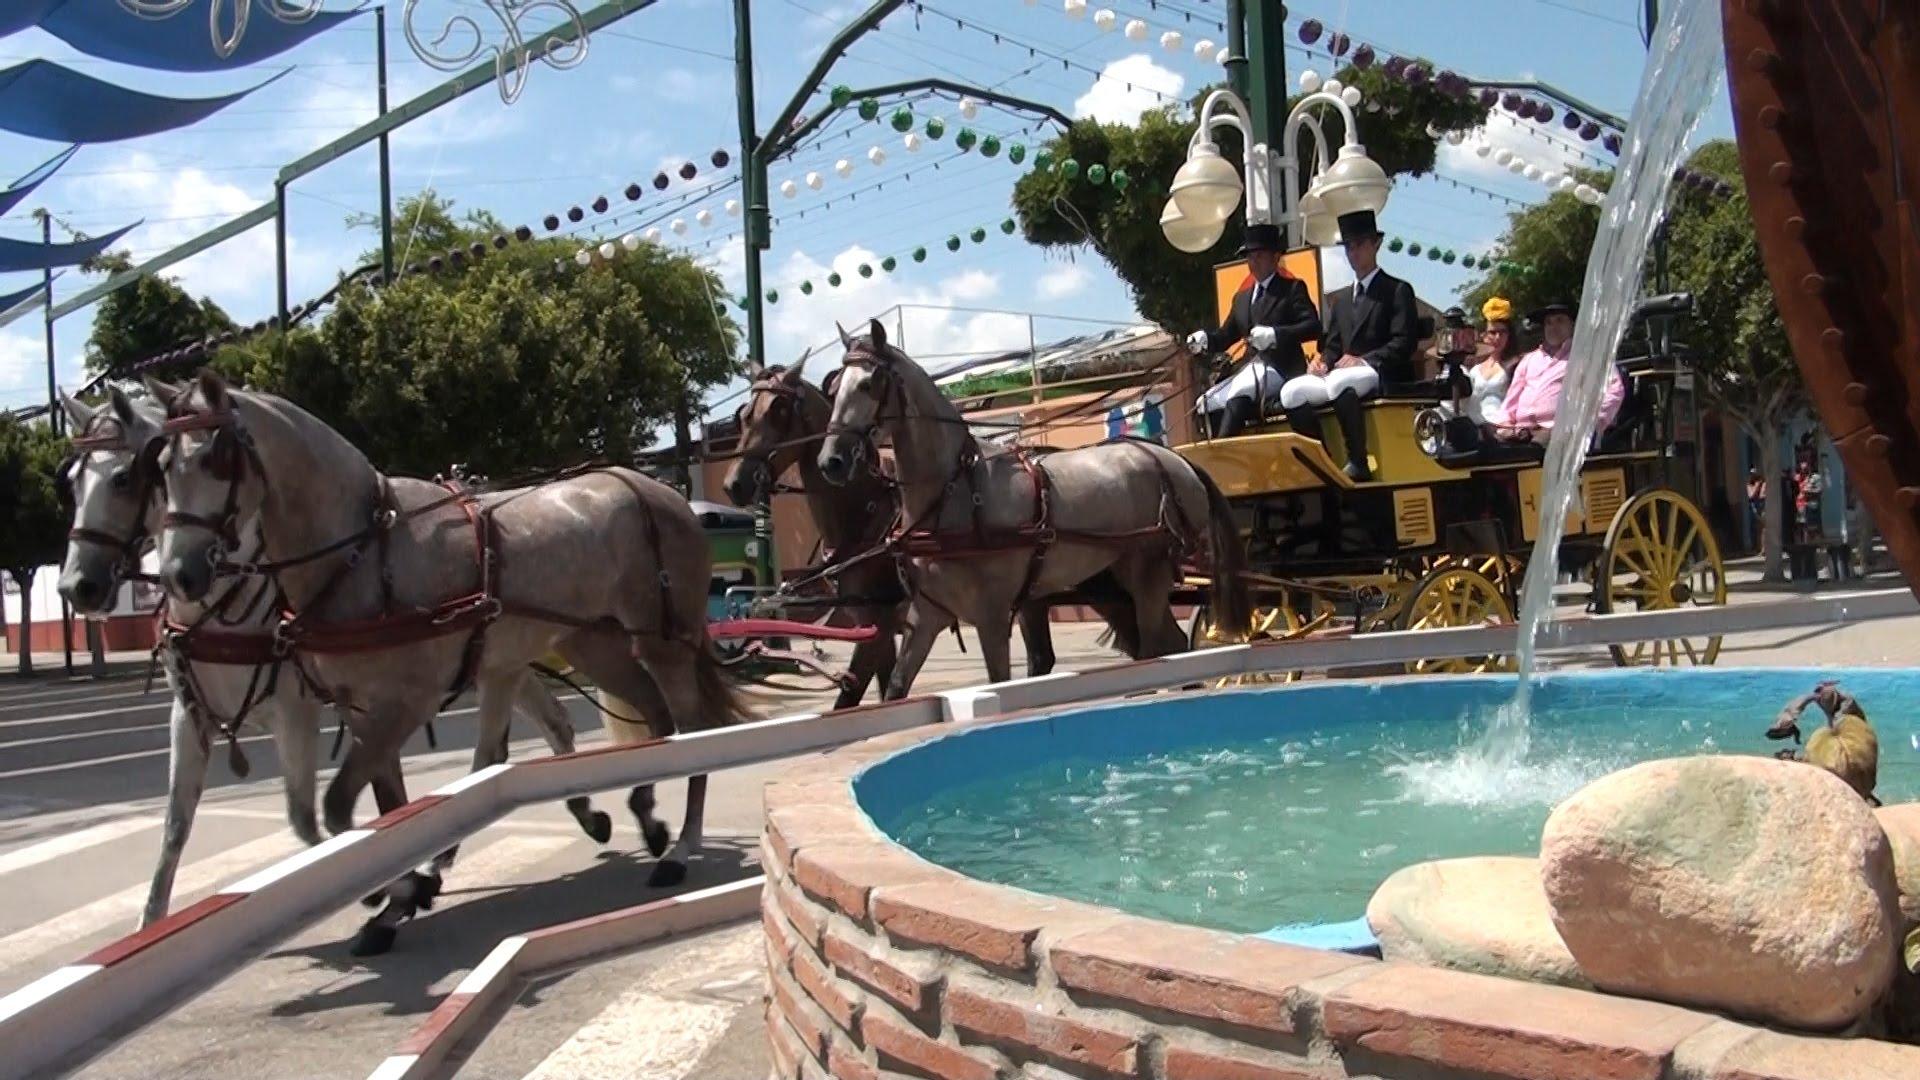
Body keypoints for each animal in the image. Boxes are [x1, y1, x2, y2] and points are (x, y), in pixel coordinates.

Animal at [56, 384, 614, 926]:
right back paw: (575, 814)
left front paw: (392, 885)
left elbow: (307, 820)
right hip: (497, 659)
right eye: (73, 481)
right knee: (541, 724)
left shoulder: (297, 710)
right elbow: (176, 826)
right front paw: (151, 919)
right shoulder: (190, 717)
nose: (76, 586)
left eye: (126, 477)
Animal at [817, 315, 1251, 691]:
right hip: (1115, 579)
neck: (954, 494)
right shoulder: (926, 616)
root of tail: (1174, 459)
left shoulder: (991, 618)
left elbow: (999, 683)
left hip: (1149, 571)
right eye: (834, 389)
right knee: (1170, 647)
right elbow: (896, 688)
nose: (831, 461)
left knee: (1161, 649)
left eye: (870, 383)